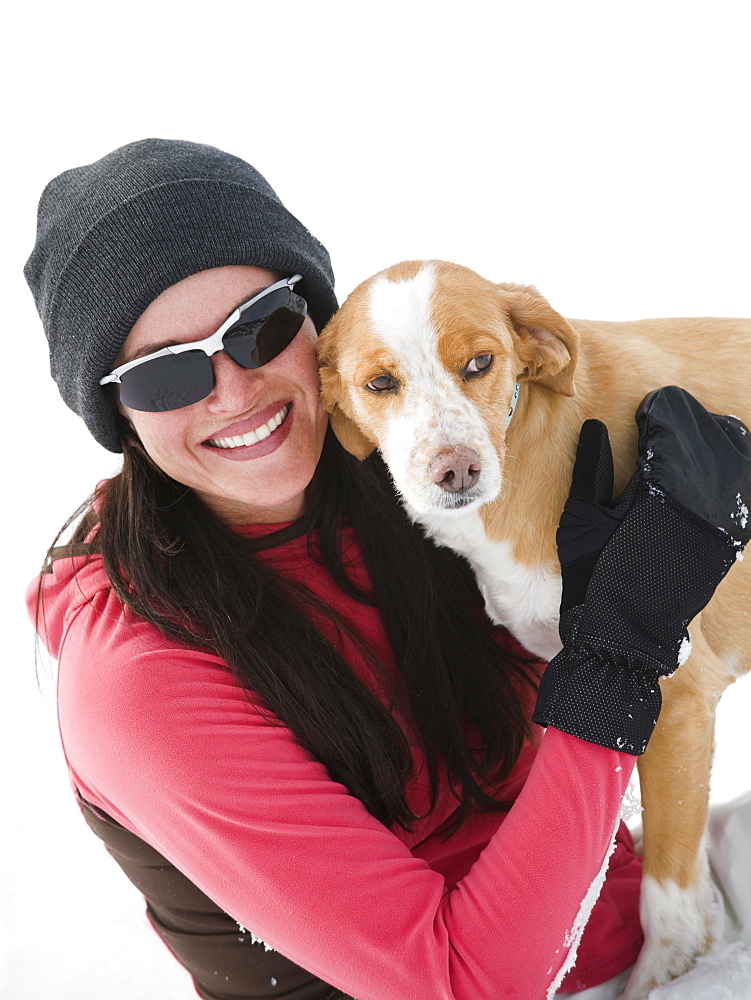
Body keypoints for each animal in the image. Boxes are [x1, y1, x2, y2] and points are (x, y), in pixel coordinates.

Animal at [318, 260, 751, 1000]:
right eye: (380, 384)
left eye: (479, 363)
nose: (455, 469)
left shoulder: (677, 700)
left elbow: (667, 902)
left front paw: (659, 977)